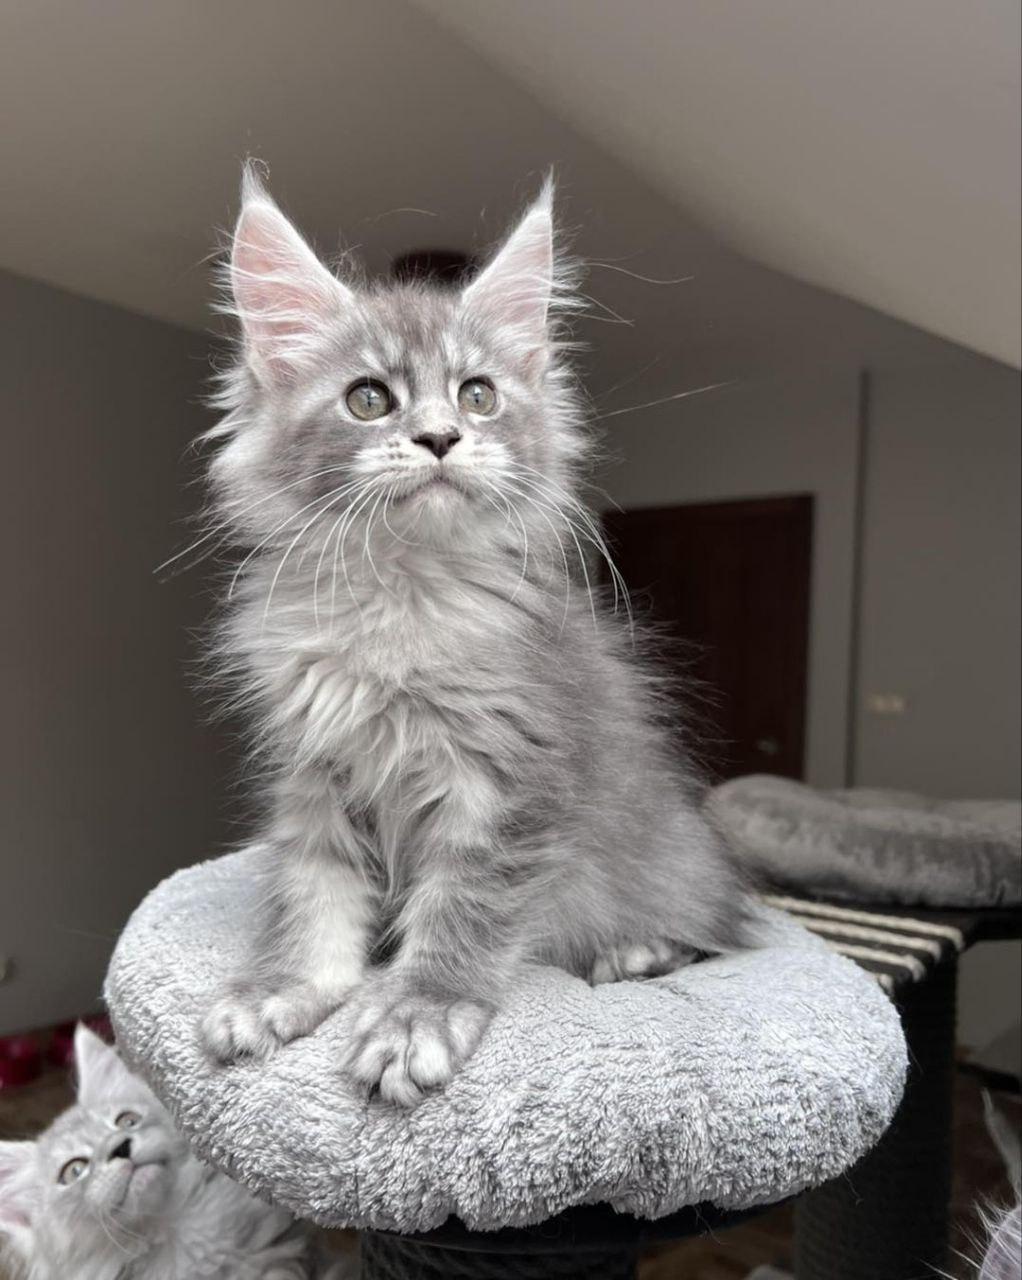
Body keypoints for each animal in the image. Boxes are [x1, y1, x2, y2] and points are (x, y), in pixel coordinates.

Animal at [195, 165, 753, 1105]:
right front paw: (281, 987)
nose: (440, 437)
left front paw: (417, 1013)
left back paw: (637, 952)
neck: (400, 601)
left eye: (478, 395)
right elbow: (313, 895)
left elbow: (462, 909)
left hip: (665, 866)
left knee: (708, 932)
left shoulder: (509, 780)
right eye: (369, 399)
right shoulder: (313, 771)